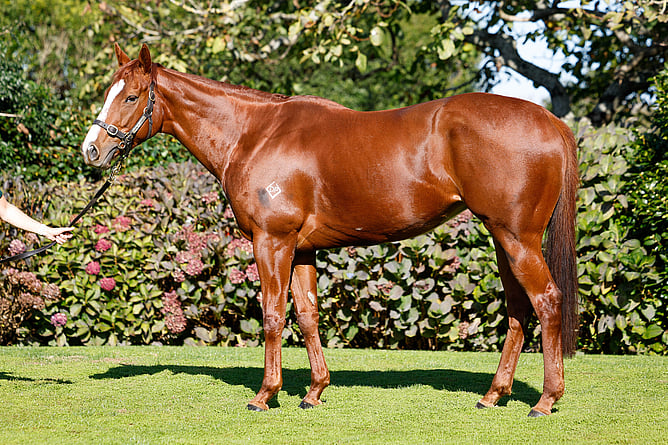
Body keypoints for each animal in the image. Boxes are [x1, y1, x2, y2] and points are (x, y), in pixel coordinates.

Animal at [82, 43, 578, 417]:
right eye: (110, 91)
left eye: (131, 97)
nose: (91, 150)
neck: (254, 134)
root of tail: (550, 121)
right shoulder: (301, 249)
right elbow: (308, 315)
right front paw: (314, 391)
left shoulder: (272, 242)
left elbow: (273, 316)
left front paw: (265, 395)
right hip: (502, 239)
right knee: (518, 309)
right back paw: (494, 395)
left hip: (517, 239)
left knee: (547, 301)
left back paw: (545, 400)